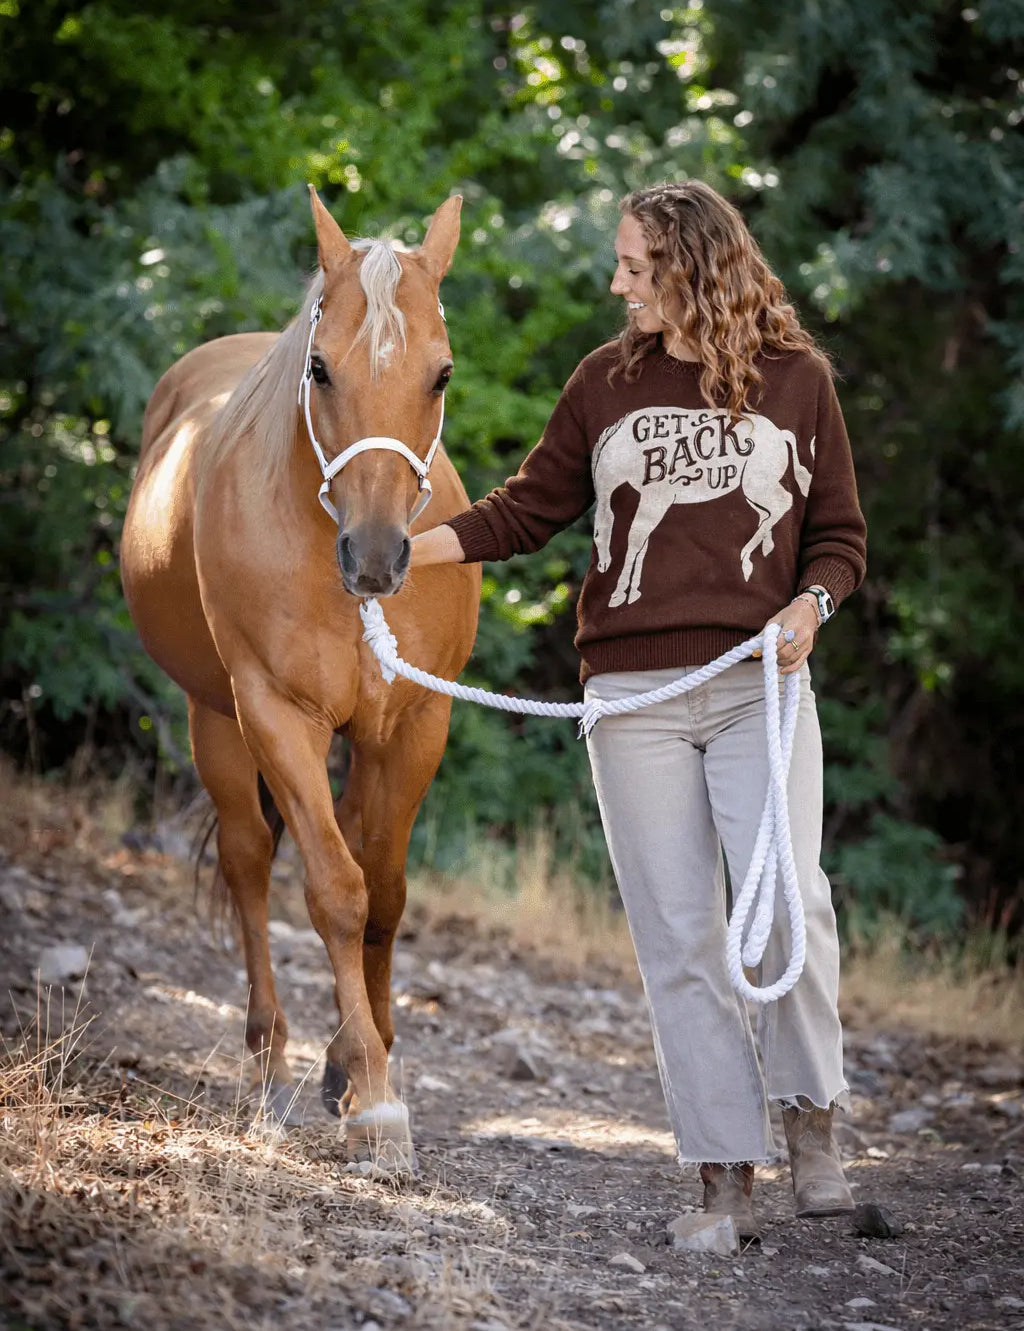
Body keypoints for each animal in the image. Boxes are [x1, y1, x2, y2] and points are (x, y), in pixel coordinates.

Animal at [120, 187, 481, 1172]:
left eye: (440, 375)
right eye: (319, 368)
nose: (377, 556)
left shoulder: (414, 726)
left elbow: (385, 895)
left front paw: (363, 1066)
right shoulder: (278, 716)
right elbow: (335, 891)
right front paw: (377, 1101)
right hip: (214, 718)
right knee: (249, 862)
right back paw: (272, 1065)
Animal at [592, 406, 813, 604]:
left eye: (595, 533)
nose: (602, 566)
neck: (631, 451)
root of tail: (780, 434)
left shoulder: (657, 499)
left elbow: (635, 540)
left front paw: (618, 594)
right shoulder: (648, 501)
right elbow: (642, 544)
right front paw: (633, 593)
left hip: (756, 485)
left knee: (783, 502)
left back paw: (745, 557)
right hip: (753, 490)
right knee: (768, 512)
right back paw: (763, 550)